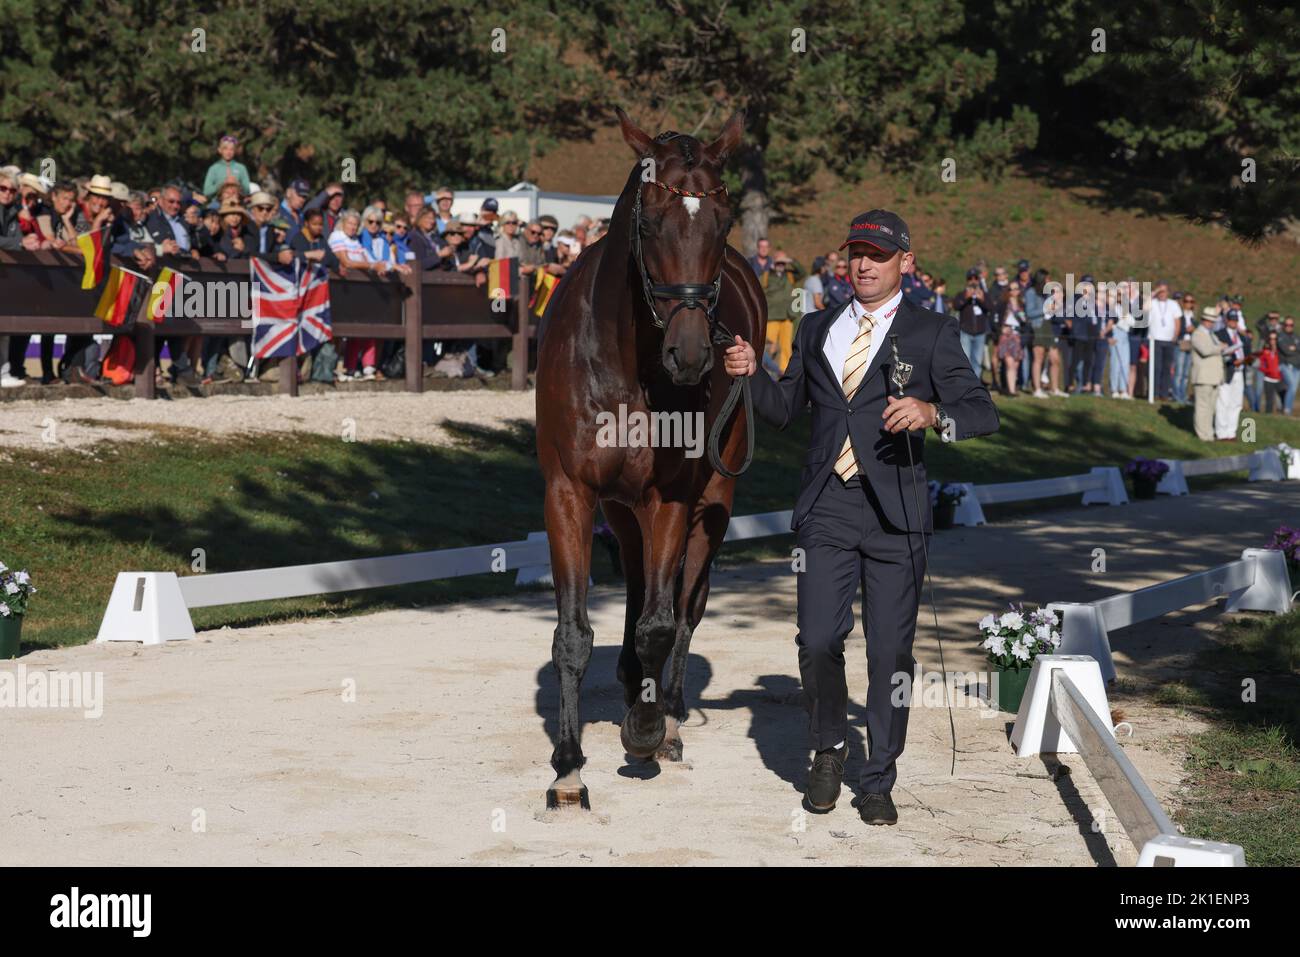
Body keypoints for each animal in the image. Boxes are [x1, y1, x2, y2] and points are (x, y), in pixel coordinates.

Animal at [535, 108, 764, 806]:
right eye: (650, 221)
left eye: (721, 221)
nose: (690, 355)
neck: (622, 360)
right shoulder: (570, 493)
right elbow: (574, 632)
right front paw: (568, 767)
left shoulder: (672, 499)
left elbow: (662, 624)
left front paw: (647, 729)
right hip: (621, 508)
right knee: (640, 592)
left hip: (712, 504)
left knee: (683, 606)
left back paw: (666, 715)